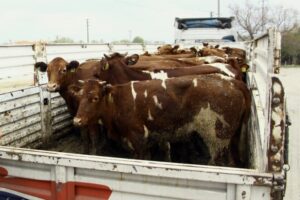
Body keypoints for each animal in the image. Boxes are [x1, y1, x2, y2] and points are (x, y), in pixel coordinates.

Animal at [73, 74, 251, 166]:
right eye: (79, 96)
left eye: (95, 98)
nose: (77, 121)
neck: (118, 101)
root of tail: (231, 82)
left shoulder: (138, 137)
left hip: (217, 137)